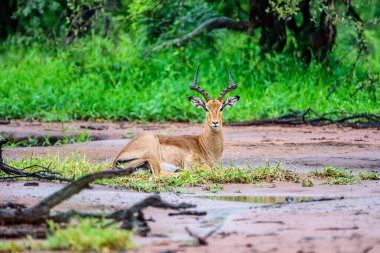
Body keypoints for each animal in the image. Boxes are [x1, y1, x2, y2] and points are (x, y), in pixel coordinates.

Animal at [111, 67, 239, 178]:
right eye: (206, 108)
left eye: (221, 108)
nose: (215, 122)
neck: (204, 145)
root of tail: (117, 158)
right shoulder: (193, 164)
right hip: (152, 152)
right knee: (158, 175)